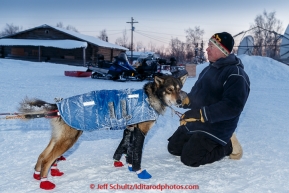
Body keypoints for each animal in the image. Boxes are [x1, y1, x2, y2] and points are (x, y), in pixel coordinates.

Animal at [19, 74, 188, 190]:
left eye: (179, 89)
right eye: (170, 90)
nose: (180, 101)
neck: (149, 97)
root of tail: (57, 105)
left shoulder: (130, 129)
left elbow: (129, 150)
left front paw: (128, 165)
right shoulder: (141, 131)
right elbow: (137, 154)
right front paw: (139, 171)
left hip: (58, 138)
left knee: (42, 155)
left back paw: (37, 174)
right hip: (69, 140)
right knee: (48, 159)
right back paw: (45, 181)